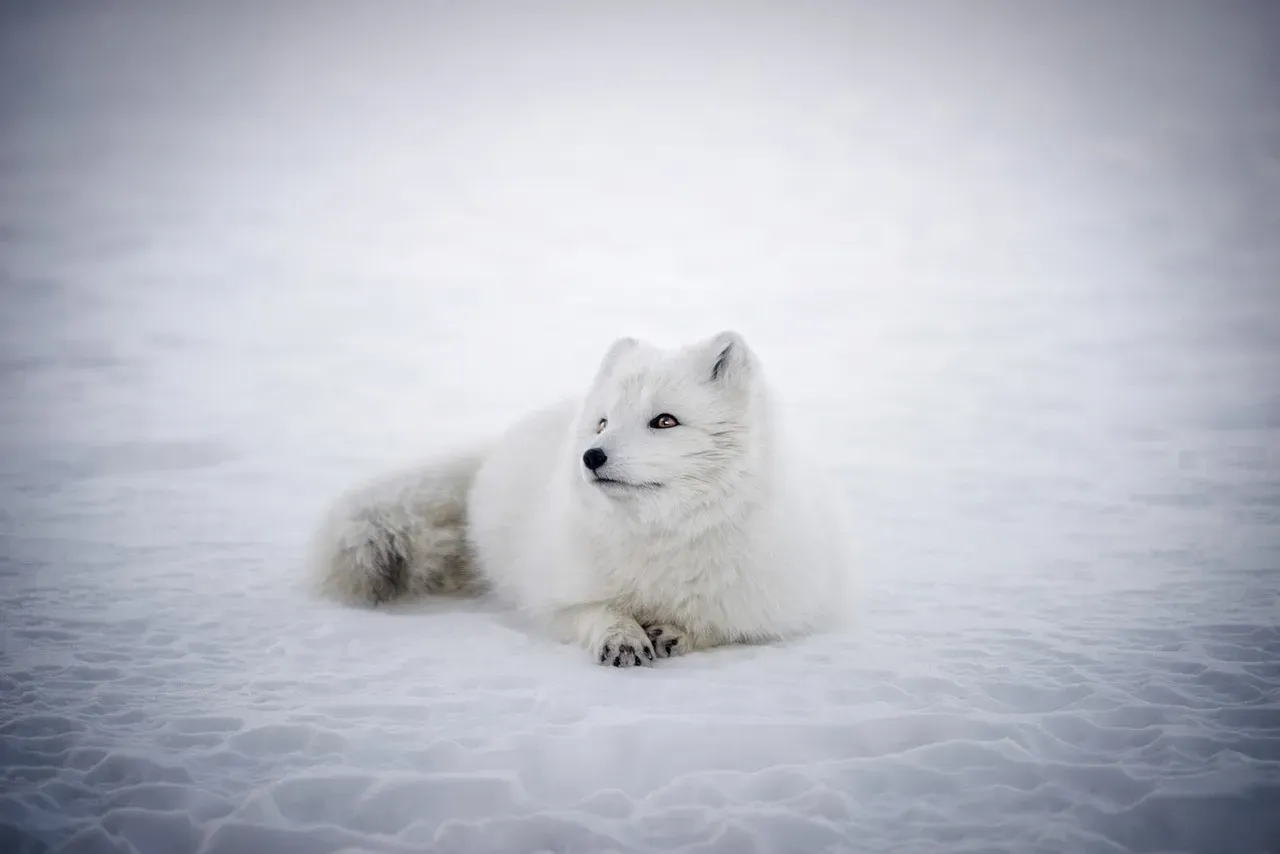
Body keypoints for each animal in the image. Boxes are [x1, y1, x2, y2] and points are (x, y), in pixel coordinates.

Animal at [311, 330, 856, 667]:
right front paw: (622, 636)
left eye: (665, 421)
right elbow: (594, 611)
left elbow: (723, 627)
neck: (661, 537)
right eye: (603, 423)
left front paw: (677, 632)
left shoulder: (777, 608)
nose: (591, 457)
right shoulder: (554, 597)